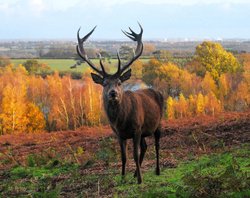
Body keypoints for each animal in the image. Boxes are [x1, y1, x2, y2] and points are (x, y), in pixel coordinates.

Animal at [75, 23, 163, 184]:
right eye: (104, 83)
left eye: (119, 82)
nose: (113, 93)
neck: (121, 122)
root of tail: (157, 91)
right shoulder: (119, 134)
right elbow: (124, 156)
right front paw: (123, 177)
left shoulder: (136, 129)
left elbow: (134, 154)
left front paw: (140, 180)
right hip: (144, 130)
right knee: (145, 146)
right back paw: (134, 173)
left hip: (158, 122)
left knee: (157, 145)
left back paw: (157, 170)